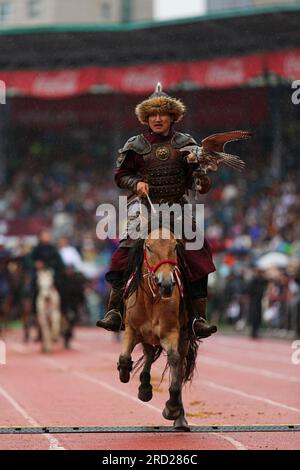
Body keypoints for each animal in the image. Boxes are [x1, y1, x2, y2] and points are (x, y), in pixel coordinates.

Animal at [117, 229, 199, 432]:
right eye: (149, 247)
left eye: (175, 246)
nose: (167, 284)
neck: (152, 299)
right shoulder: (132, 329)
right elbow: (124, 357)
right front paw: (125, 373)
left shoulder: (171, 333)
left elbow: (175, 361)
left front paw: (172, 407)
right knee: (148, 353)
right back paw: (144, 387)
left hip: (183, 338)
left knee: (178, 365)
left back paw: (179, 417)